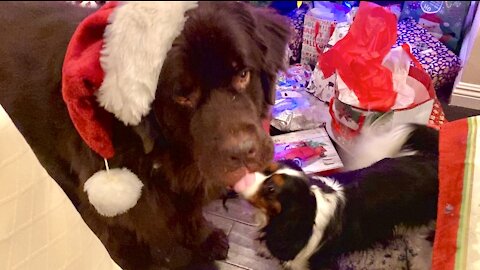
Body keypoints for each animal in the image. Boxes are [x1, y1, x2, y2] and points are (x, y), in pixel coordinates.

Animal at [0, 1, 290, 268]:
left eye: (243, 74)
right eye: (182, 95)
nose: (242, 152)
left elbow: (190, 211)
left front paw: (204, 238)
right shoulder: (121, 214)